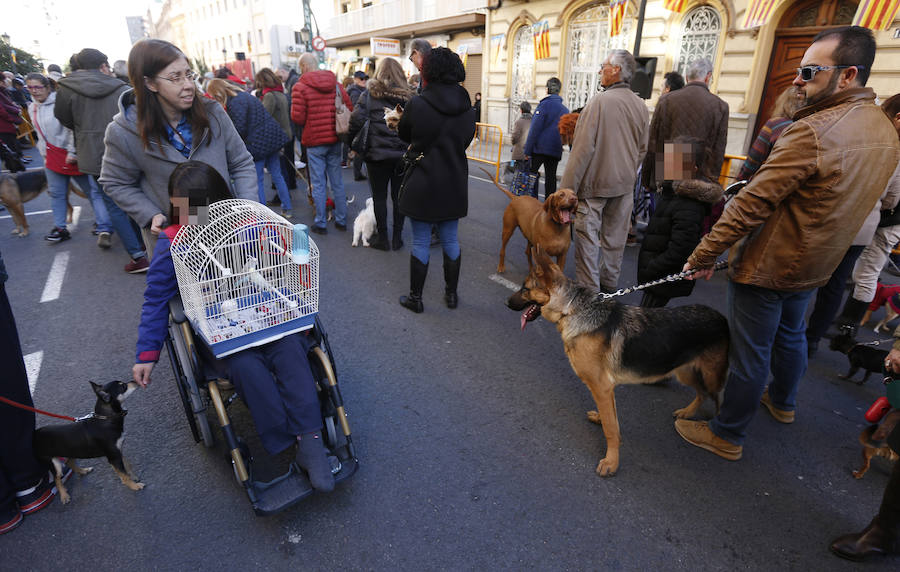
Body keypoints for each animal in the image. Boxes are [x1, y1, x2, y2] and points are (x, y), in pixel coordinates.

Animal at [506, 248, 732, 476]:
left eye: (525, 289)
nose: (506, 303)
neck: (572, 309)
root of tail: (722, 318)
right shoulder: (606, 389)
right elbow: (611, 418)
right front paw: (601, 419)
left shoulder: (601, 387)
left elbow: (611, 429)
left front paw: (611, 461)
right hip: (684, 371)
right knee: (701, 393)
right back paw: (687, 412)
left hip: (710, 377)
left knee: (717, 398)